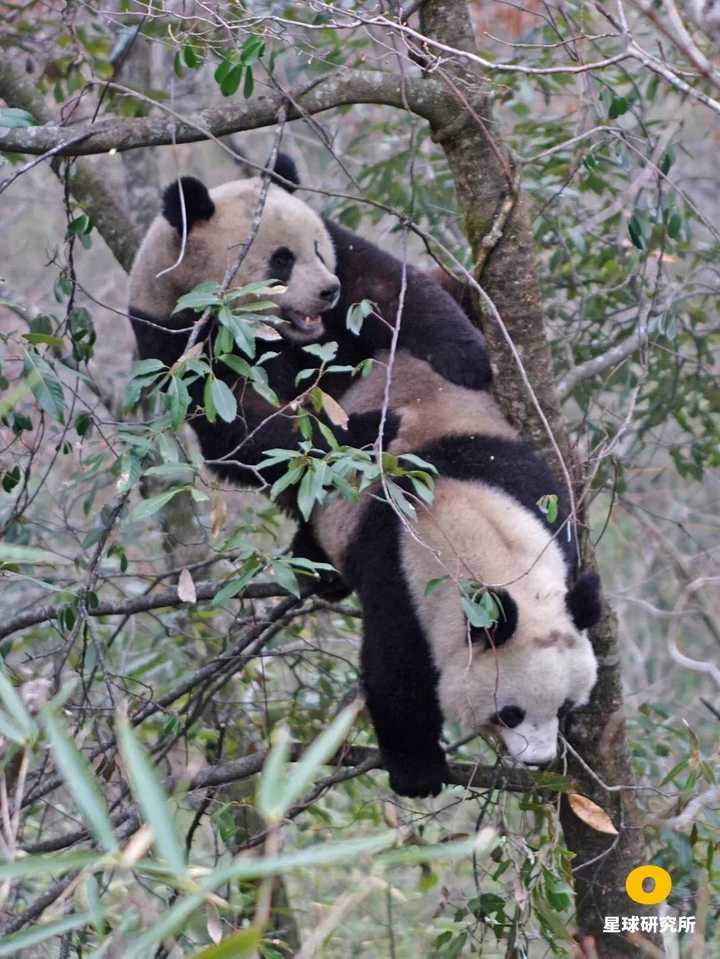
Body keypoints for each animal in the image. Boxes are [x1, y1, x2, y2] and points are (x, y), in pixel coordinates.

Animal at [310, 348, 600, 800]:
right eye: (510, 714)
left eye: (565, 705)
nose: (539, 759)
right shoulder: (397, 573)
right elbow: (396, 674)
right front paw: (419, 775)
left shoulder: (546, 517)